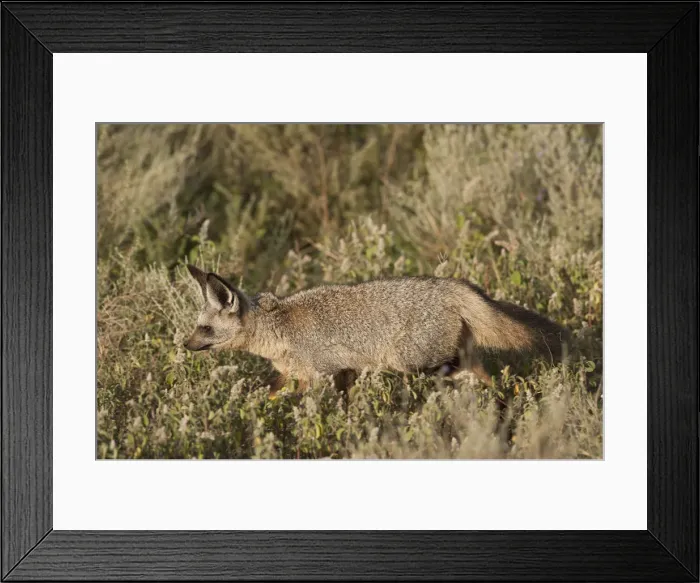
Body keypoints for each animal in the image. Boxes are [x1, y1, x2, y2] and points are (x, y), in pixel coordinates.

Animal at [183, 265, 570, 394]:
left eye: (205, 329)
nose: (185, 345)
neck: (278, 329)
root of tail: (452, 285)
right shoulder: (329, 374)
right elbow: (272, 393)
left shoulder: (322, 375)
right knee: (489, 379)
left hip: (415, 362)